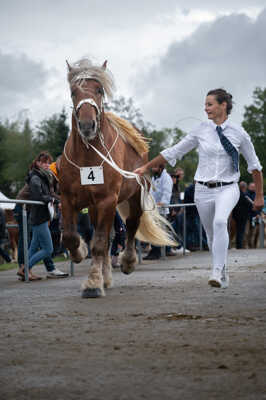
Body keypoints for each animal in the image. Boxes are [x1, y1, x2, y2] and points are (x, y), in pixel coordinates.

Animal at [59, 57, 176, 298]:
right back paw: (106, 275)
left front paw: (93, 283)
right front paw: (80, 253)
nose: (87, 125)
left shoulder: (107, 200)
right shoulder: (67, 199)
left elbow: (99, 243)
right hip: (95, 207)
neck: (88, 156)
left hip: (134, 198)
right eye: (73, 92)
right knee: (108, 237)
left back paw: (128, 262)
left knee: (130, 226)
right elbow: (71, 237)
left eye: (99, 89)